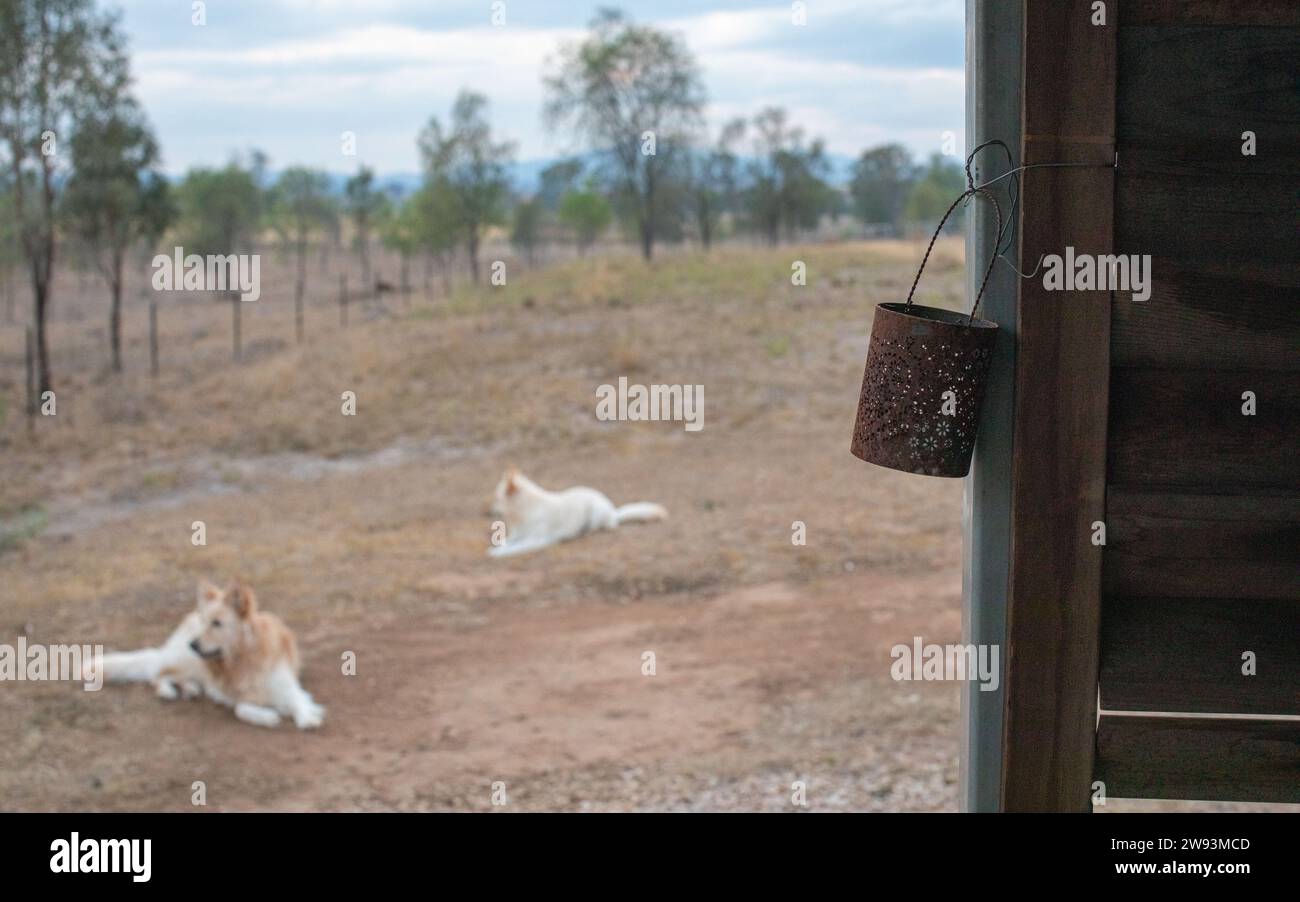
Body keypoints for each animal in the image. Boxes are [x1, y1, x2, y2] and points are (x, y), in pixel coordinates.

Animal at [92, 582, 325, 733]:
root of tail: (189, 617)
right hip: (189, 662)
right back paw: (169, 691)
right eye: (206, 622)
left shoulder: (289, 687)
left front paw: (308, 718)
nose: (193, 644)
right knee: (158, 673)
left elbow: (298, 702)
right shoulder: (234, 697)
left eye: (217, 623)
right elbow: (241, 709)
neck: (241, 660)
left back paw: (190, 689)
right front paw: (268, 716)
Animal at [488, 465, 665, 558]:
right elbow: (508, 542)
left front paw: (496, 553)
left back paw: (586, 531)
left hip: (596, 513)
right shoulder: (517, 535)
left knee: (606, 527)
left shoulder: (537, 540)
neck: (524, 513)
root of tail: (613, 511)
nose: (489, 511)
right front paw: (496, 548)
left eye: (496, 498)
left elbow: (513, 549)